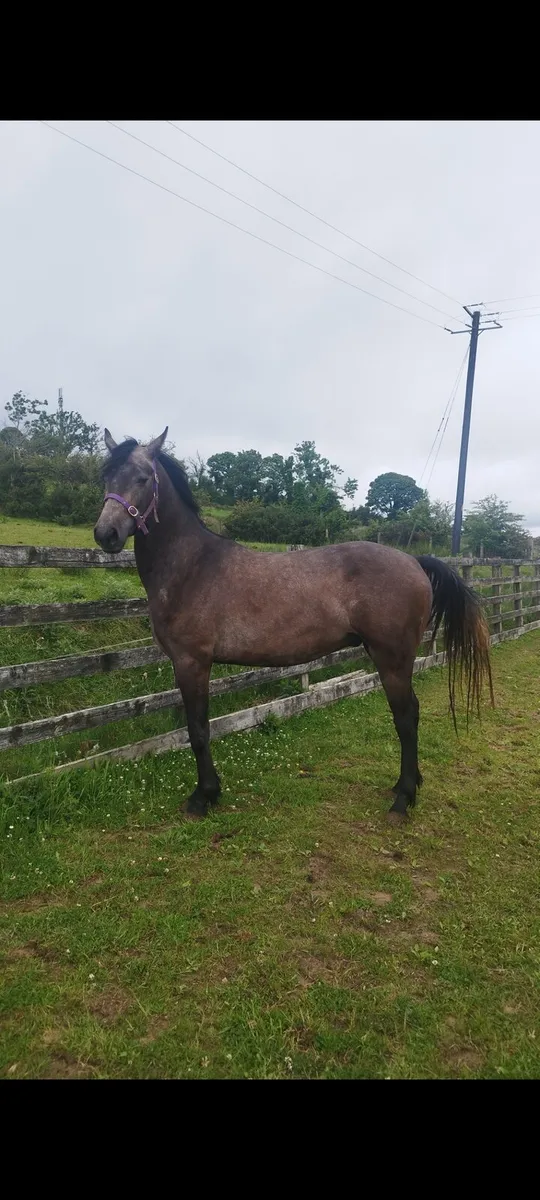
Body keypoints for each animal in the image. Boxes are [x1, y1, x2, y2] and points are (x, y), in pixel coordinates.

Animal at [94, 429, 493, 824]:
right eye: (106, 476)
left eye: (143, 478)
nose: (105, 534)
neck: (193, 567)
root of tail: (413, 561)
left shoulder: (192, 663)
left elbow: (199, 730)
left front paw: (203, 796)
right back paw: (403, 787)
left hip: (392, 659)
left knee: (406, 717)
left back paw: (402, 800)